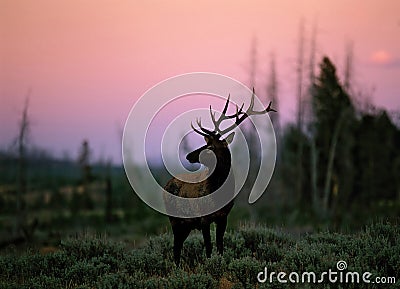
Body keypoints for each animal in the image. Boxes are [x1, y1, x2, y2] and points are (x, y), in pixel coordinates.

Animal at [163, 89, 276, 264]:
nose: (189, 156)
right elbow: (209, 248)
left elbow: (220, 246)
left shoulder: (223, 217)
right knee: (176, 247)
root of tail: (165, 185)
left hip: (185, 224)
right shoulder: (203, 218)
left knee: (178, 245)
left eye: (210, 147)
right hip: (174, 219)